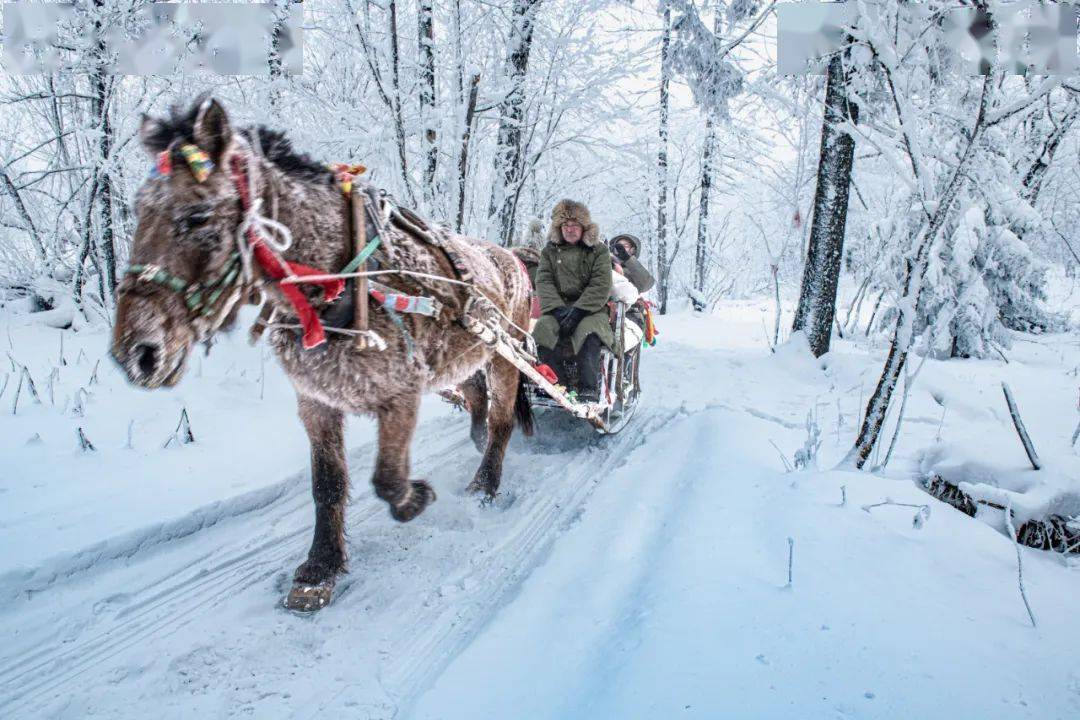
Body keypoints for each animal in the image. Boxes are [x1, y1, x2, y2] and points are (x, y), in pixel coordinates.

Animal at [113, 95, 535, 613]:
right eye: (137, 210)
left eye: (197, 216)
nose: (136, 353)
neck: (340, 281)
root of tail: (514, 257)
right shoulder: (316, 401)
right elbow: (327, 484)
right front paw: (320, 568)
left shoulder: (401, 392)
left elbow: (387, 478)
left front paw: (415, 499)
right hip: (464, 360)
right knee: (475, 398)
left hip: (504, 357)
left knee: (501, 420)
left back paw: (485, 484)